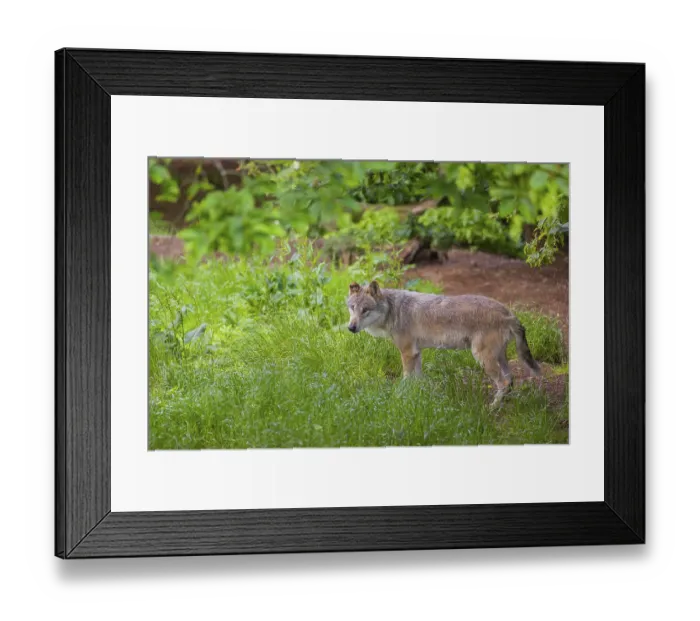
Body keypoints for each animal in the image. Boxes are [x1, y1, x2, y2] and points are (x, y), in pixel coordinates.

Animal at [346, 281, 541, 406]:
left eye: (365, 310)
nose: (351, 327)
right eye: (352, 308)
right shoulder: (417, 353)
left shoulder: (407, 352)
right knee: (510, 380)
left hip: (483, 358)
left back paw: (493, 407)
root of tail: (509, 313)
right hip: (500, 358)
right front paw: (420, 397)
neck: (393, 309)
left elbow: (406, 379)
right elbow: (418, 379)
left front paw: (400, 396)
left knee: (503, 383)